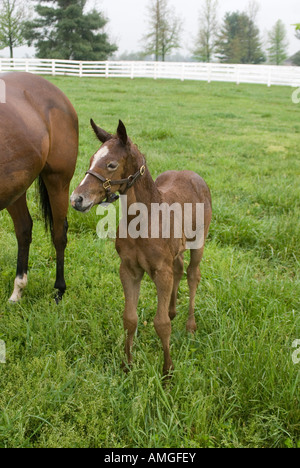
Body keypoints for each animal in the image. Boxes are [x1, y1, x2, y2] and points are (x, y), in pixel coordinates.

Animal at [70, 120, 212, 376]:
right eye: (91, 159)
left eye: (111, 164)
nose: (77, 199)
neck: (143, 221)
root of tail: (192, 174)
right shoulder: (129, 269)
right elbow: (130, 318)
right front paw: (127, 365)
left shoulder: (161, 272)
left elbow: (161, 324)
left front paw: (167, 371)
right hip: (176, 252)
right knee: (179, 268)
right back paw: (173, 311)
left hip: (199, 243)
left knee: (192, 274)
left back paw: (190, 326)